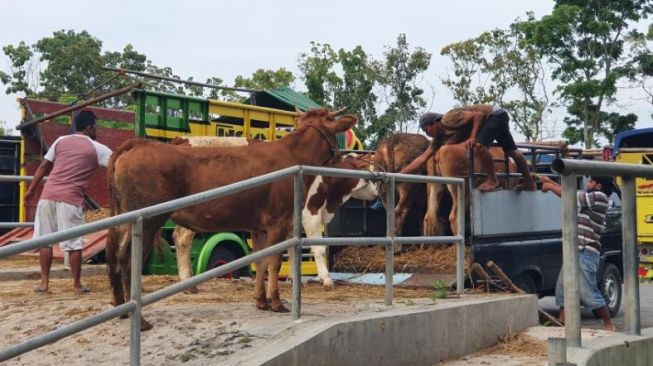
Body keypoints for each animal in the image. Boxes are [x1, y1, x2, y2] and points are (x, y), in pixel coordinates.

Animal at [105, 107, 356, 330]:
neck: (293, 154)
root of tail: (139, 144)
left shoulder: (258, 227)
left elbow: (260, 260)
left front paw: (261, 301)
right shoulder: (278, 221)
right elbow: (274, 261)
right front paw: (276, 302)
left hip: (123, 217)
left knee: (114, 252)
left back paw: (120, 308)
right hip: (147, 220)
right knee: (128, 257)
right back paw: (140, 319)